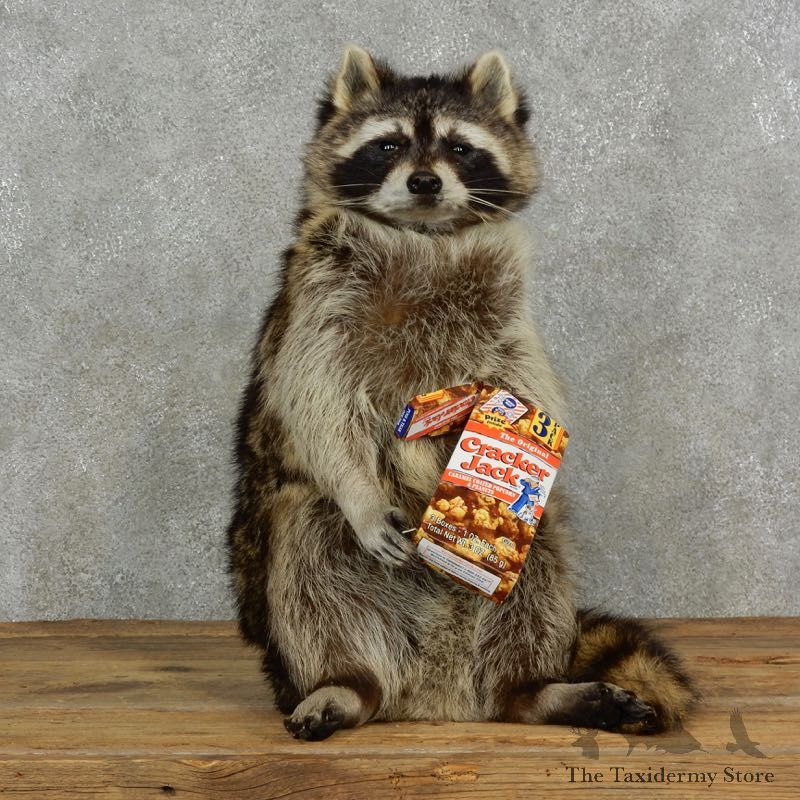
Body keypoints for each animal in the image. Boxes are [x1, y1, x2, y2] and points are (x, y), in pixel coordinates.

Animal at [227, 46, 699, 741]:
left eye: (458, 147)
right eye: (389, 144)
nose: (425, 183)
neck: (425, 234)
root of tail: (434, 696)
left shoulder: (506, 306)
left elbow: (529, 377)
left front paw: (530, 441)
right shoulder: (316, 298)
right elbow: (315, 395)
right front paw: (360, 493)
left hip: (517, 588)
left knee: (543, 552)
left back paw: (532, 691)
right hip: (287, 581)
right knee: (307, 538)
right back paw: (343, 683)